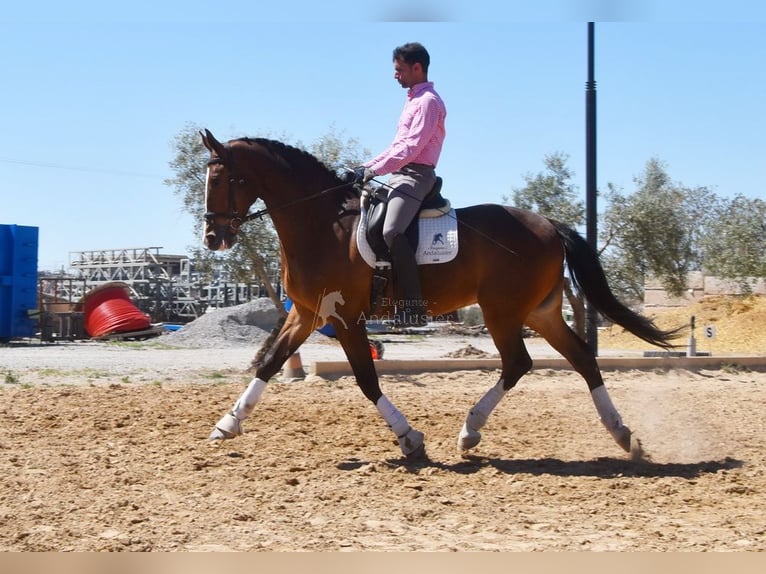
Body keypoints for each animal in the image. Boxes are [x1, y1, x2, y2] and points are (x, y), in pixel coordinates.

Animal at [201, 128, 680, 462]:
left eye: (221, 179)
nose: (212, 237)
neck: (322, 224)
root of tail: (550, 225)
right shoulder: (306, 313)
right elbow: (270, 361)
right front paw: (226, 425)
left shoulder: (346, 318)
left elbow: (367, 380)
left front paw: (410, 439)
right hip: (539, 312)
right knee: (581, 357)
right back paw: (621, 434)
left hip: (502, 310)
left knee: (518, 362)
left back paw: (470, 431)